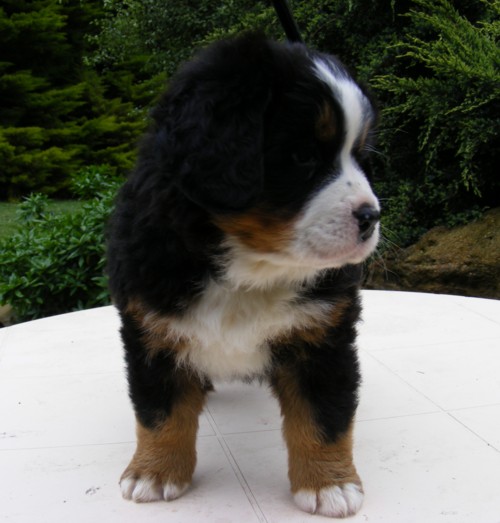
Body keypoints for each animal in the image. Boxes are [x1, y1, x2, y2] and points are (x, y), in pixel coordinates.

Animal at [107, 32, 380, 518]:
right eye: (303, 156)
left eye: (361, 158)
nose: (371, 217)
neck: (249, 269)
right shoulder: (151, 332)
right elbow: (160, 413)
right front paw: (154, 472)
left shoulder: (323, 338)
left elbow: (324, 416)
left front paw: (329, 483)